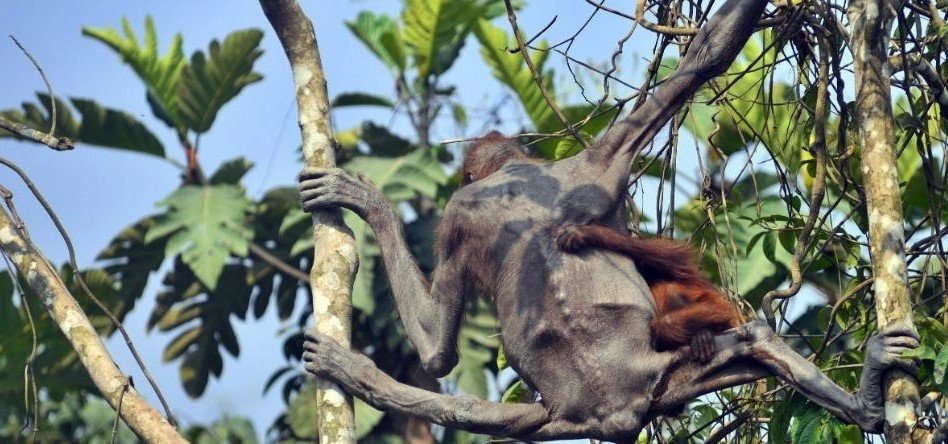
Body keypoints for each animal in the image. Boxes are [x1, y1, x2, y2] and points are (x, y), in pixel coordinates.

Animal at [296, 0, 919, 439]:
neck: (516, 173)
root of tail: (615, 408)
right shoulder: (596, 162)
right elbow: (707, 57)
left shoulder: (476, 210)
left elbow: (436, 352)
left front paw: (363, 201)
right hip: (628, 393)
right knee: (749, 340)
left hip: (592, 404)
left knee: (481, 415)